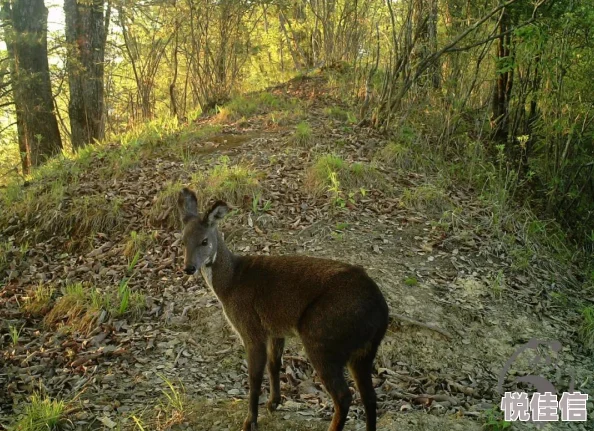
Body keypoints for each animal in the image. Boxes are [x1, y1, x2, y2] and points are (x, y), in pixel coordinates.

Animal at [176, 188, 388, 431]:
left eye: (204, 241)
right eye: (182, 241)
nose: (189, 268)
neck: (231, 284)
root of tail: (382, 312)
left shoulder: (251, 327)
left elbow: (254, 377)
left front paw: (250, 421)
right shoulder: (276, 328)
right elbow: (274, 364)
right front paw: (273, 403)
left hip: (322, 335)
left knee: (344, 396)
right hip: (364, 351)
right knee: (369, 396)